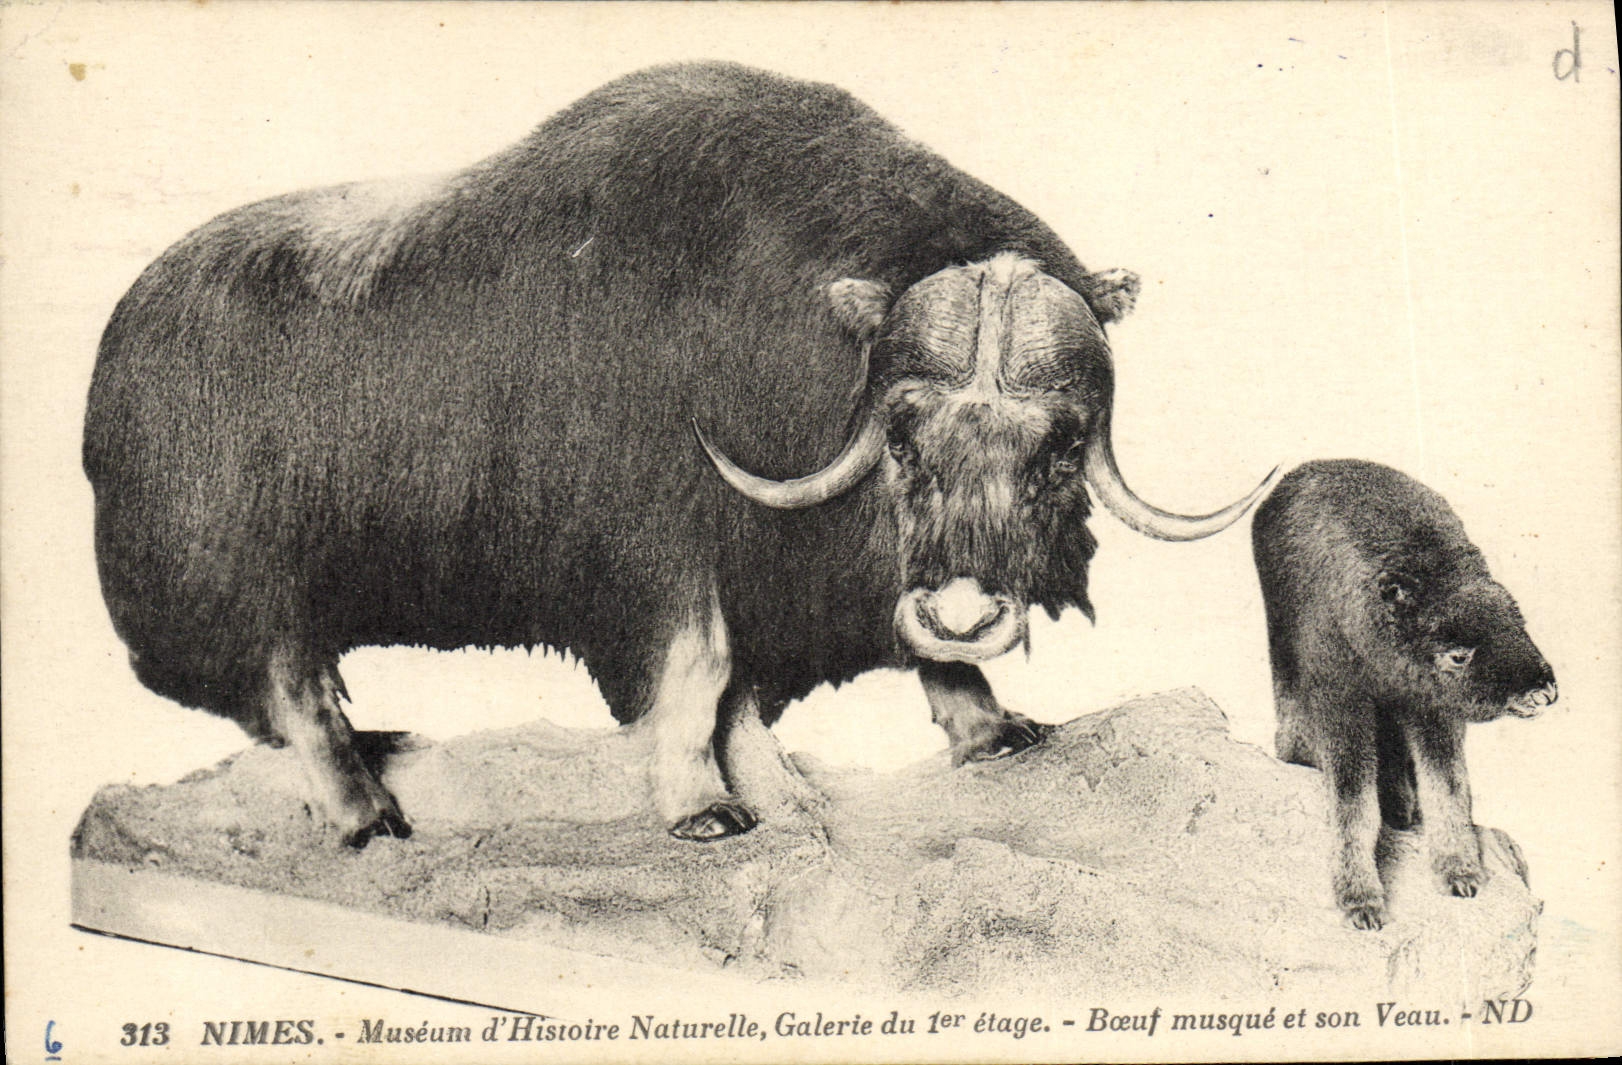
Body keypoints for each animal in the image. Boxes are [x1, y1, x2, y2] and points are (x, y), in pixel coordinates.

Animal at [84, 61, 1274, 847]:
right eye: (900, 431)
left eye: (1062, 444)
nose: (972, 611)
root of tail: (120, 339)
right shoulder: (664, 551)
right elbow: (699, 668)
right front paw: (708, 811)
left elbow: (824, 661)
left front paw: (985, 735)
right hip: (243, 572)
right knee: (291, 685)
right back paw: (369, 816)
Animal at [1251, 460, 1556, 930]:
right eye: (1458, 655)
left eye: (1518, 622)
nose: (1543, 692)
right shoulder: (1342, 702)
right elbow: (1353, 801)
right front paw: (1361, 903)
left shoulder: (1429, 710)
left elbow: (1448, 786)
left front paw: (1461, 874)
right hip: (1284, 648)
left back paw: (1402, 809)